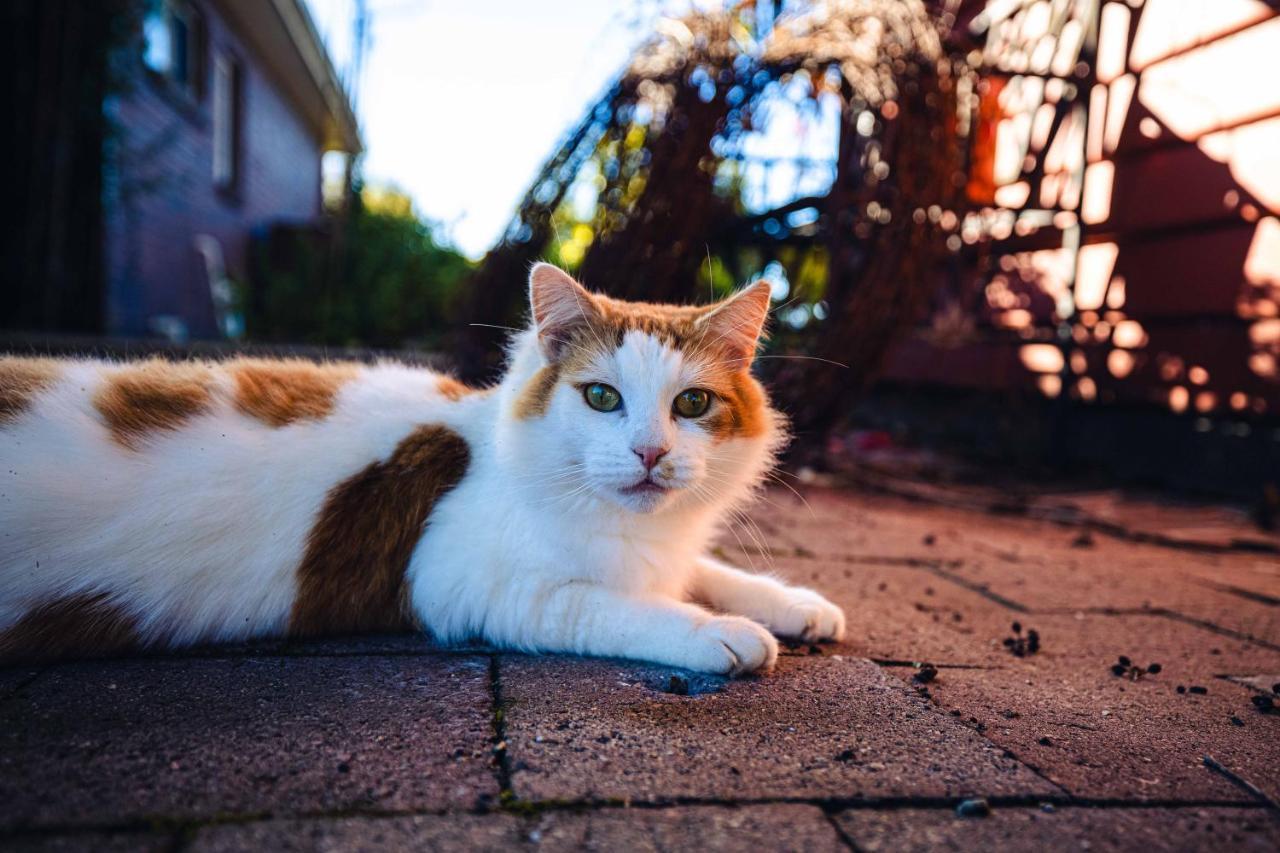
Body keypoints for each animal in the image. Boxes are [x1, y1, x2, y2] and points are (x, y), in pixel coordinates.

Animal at [0, 266, 844, 671]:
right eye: (602, 397)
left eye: (692, 403)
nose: (650, 452)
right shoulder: (467, 582)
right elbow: (624, 608)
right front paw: (723, 634)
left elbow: (708, 569)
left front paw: (796, 604)